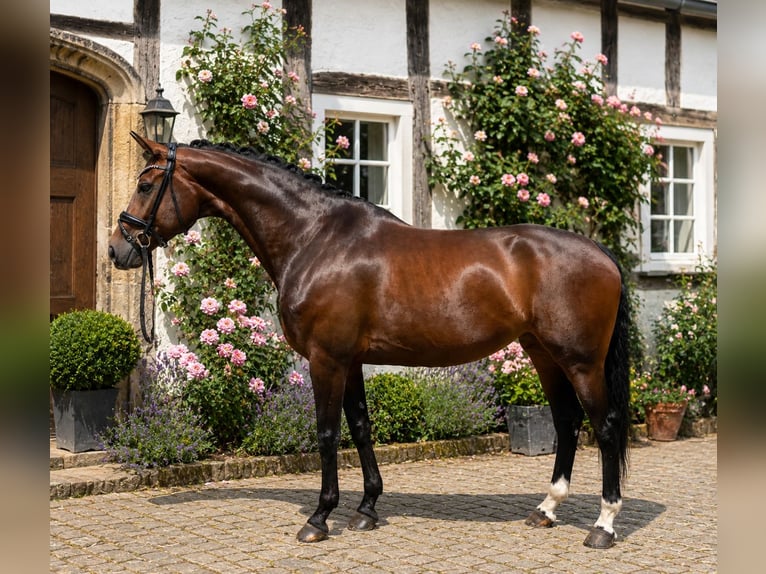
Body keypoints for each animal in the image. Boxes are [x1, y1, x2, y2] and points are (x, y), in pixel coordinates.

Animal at [109, 132, 631, 549]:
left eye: (146, 185)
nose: (118, 249)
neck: (315, 238)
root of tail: (600, 252)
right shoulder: (352, 360)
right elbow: (361, 427)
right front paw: (366, 510)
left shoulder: (326, 359)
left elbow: (326, 433)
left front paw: (320, 518)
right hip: (543, 355)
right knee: (566, 423)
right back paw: (546, 509)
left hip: (580, 361)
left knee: (603, 428)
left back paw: (603, 526)